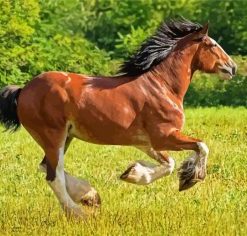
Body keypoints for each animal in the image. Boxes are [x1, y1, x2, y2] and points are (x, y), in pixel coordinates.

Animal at [0, 17, 235, 218]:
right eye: (212, 45)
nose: (232, 67)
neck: (162, 86)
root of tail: (23, 90)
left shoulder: (146, 142)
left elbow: (169, 163)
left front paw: (132, 173)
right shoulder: (164, 135)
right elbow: (201, 146)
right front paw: (191, 179)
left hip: (65, 137)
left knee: (46, 167)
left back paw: (89, 196)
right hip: (53, 136)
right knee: (53, 175)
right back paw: (79, 214)